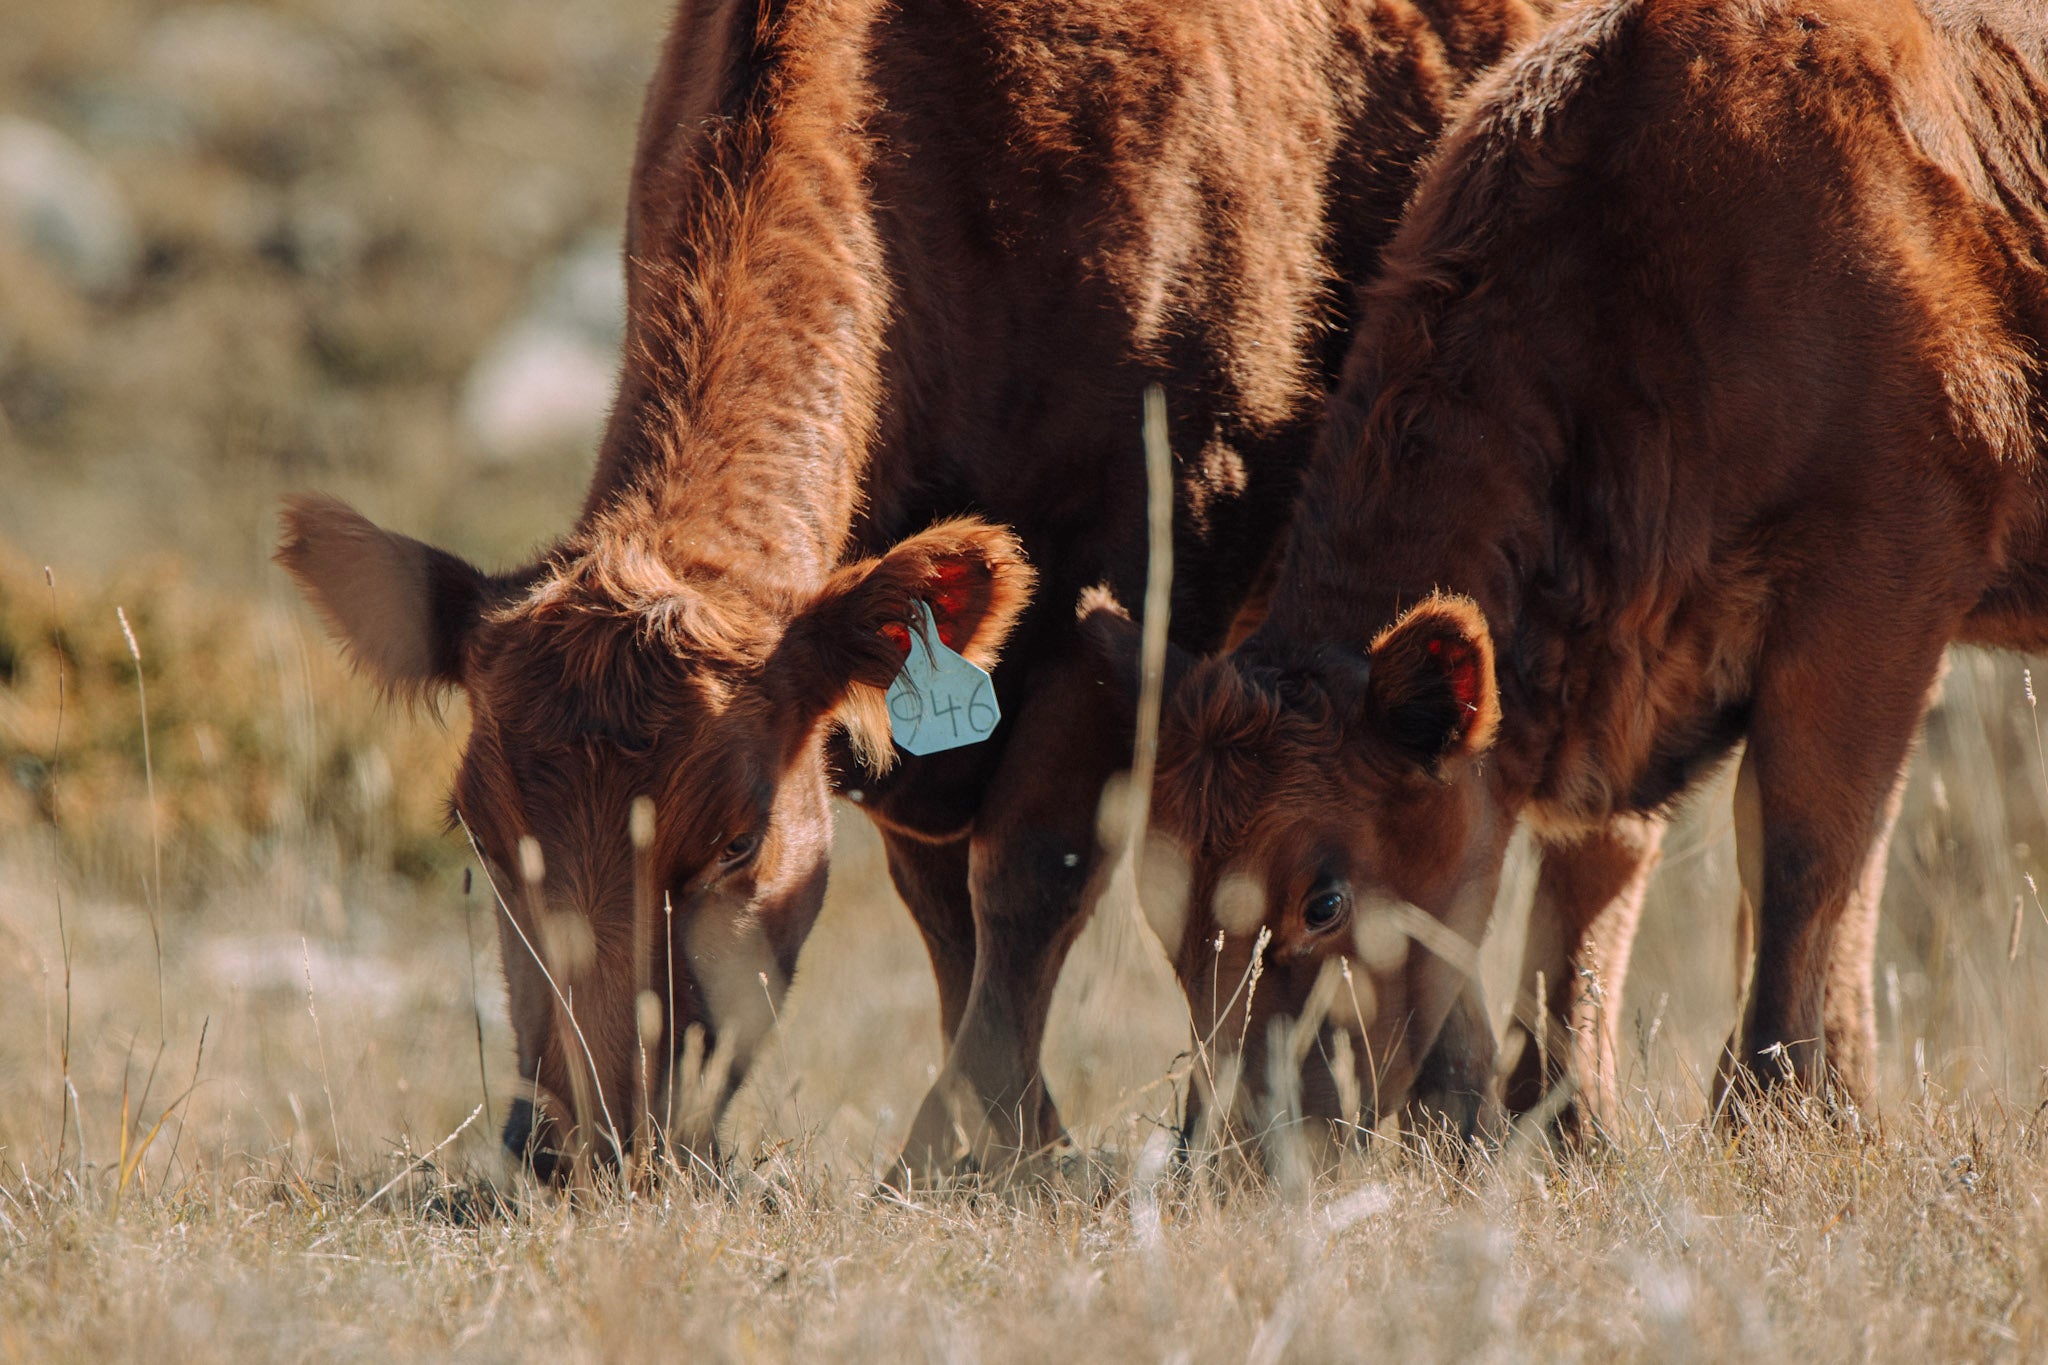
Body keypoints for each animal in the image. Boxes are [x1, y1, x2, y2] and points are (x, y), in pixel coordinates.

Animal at [280, 0, 1540, 1178]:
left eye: (735, 841)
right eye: (482, 835)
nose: (572, 1146)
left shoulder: (1135, 579)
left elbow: (1032, 873)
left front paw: (956, 1147)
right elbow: (942, 908)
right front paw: (1013, 1136)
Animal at [1097, 0, 2048, 1154]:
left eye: (1322, 900)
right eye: (1160, 904)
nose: (1235, 1146)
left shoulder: (1883, 581)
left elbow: (1807, 855)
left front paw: (1770, 1112)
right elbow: (1591, 886)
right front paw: (1557, 1119)